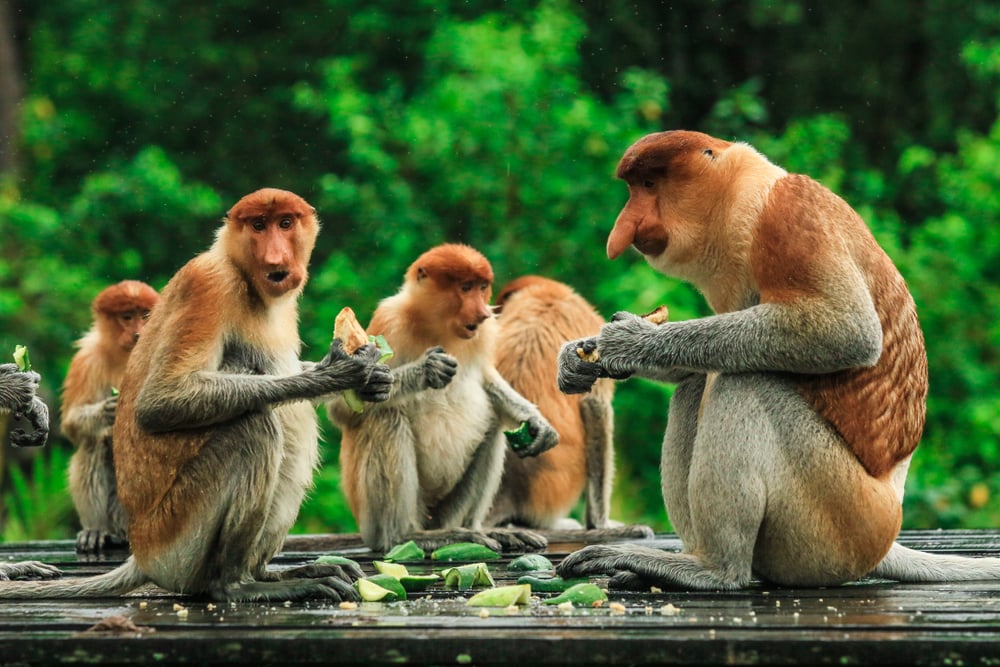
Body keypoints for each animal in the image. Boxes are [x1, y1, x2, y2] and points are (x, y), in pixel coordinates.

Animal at [61, 280, 160, 554]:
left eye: (144, 315)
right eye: (127, 317)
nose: (138, 334)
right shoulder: (86, 360)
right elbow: (71, 424)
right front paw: (108, 411)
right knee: (93, 443)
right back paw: (96, 530)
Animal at [327, 243, 560, 554]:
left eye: (482, 287)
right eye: (465, 287)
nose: (482, 313)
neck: (437, 327)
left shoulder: (484, 334)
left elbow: (486, 379)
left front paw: (536, 423)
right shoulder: (389, 320)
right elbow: (343, 408)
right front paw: (427, 370)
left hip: (447, 512)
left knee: (492, 424)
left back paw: (478, 531)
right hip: (375, 516)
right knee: (385, 416)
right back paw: (403, 537)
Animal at [555, 129, 1000, 591]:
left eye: (648, 184)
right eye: (634, 187)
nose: (622, 231)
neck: (742, 196)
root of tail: (888, 525)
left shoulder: (788, 217)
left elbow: (849, 332)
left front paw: (631, 341)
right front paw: (578, 358)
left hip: (842, 517)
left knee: (745, 381)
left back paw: (712, 570)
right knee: (700, 381)